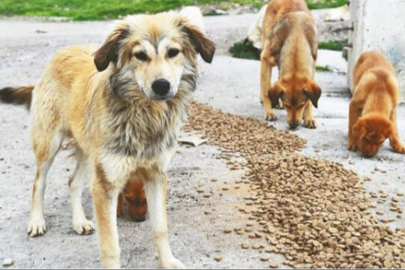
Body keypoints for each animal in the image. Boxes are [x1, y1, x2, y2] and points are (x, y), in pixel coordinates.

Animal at [0, 12, 215, 268]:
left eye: (173, 52)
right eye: (140, 55)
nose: (162, 86)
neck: (145, 117)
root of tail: (63, 51)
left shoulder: (155, 175)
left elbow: (160, 229)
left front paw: (167, 262)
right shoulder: (106, 184)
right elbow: (111, 245)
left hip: (88, 153)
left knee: (73, 182)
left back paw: (79, 222)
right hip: (49, 144)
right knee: (38, 182)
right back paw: (36, 221)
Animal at [260, 0, 320, 129]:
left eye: (301, 104)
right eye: (287, 104)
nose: (293, 125)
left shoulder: (313, 67)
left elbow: (310, 101)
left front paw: (308, 117)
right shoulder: (265, 59)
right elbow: (266, 90)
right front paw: (269, 111)